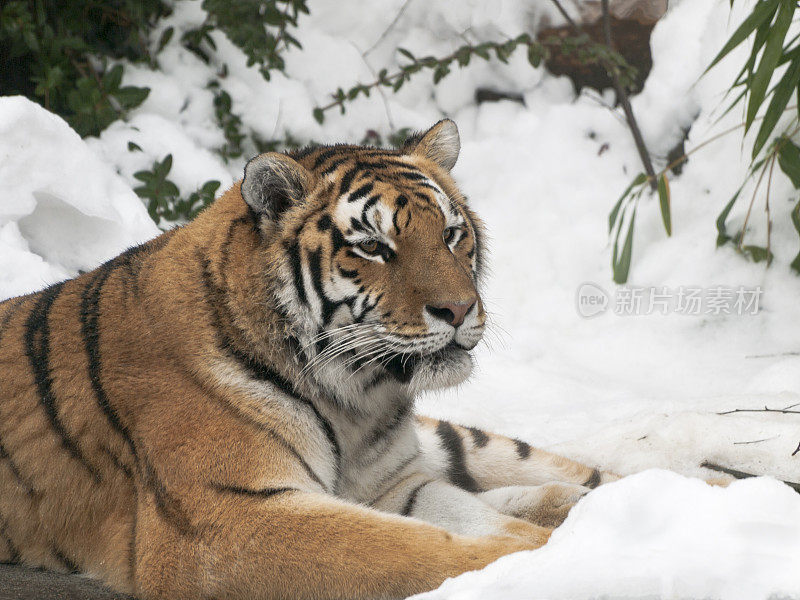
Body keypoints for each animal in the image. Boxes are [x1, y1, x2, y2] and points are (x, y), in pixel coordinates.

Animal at [0, 119, 620, 596]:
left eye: (450, 234)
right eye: (373, 247)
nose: (460, 308)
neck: (358, 400)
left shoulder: (391, 484)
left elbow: (463, 513)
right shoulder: (223, 517)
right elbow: (404, 549)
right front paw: (548, 555)